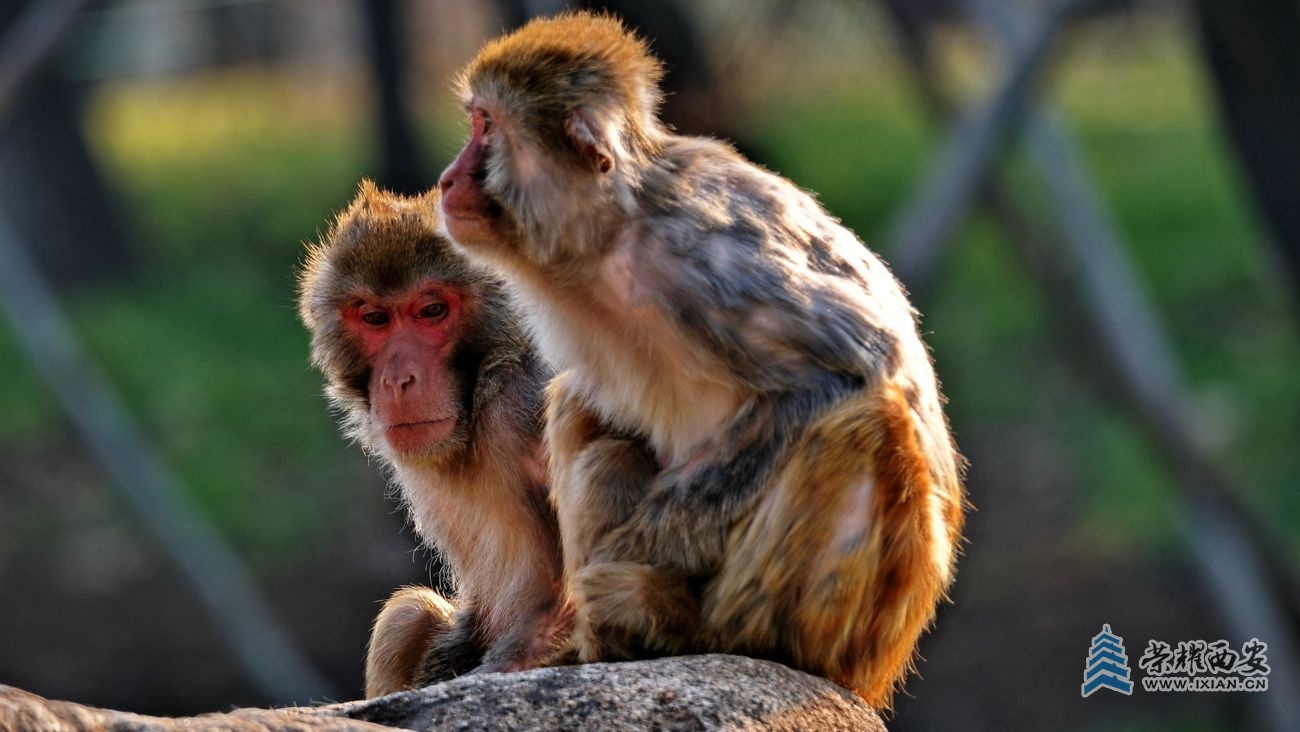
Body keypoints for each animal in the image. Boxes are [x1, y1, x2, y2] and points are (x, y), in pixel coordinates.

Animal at [297, 183, 566, 696]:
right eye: (375, 318)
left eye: (431, 311)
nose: (399, 380)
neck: (489, 383)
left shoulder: (529, 405)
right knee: (407, 617)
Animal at [436, 12, 967, 712]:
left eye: (486, 127)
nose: (447, 178)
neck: (612, 232)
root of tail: (881, 668)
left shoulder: (700, 258)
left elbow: (846, 369)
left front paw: (623, 560)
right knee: (584, 413)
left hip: (859, 630)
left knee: (864, 423)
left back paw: (695, 629)